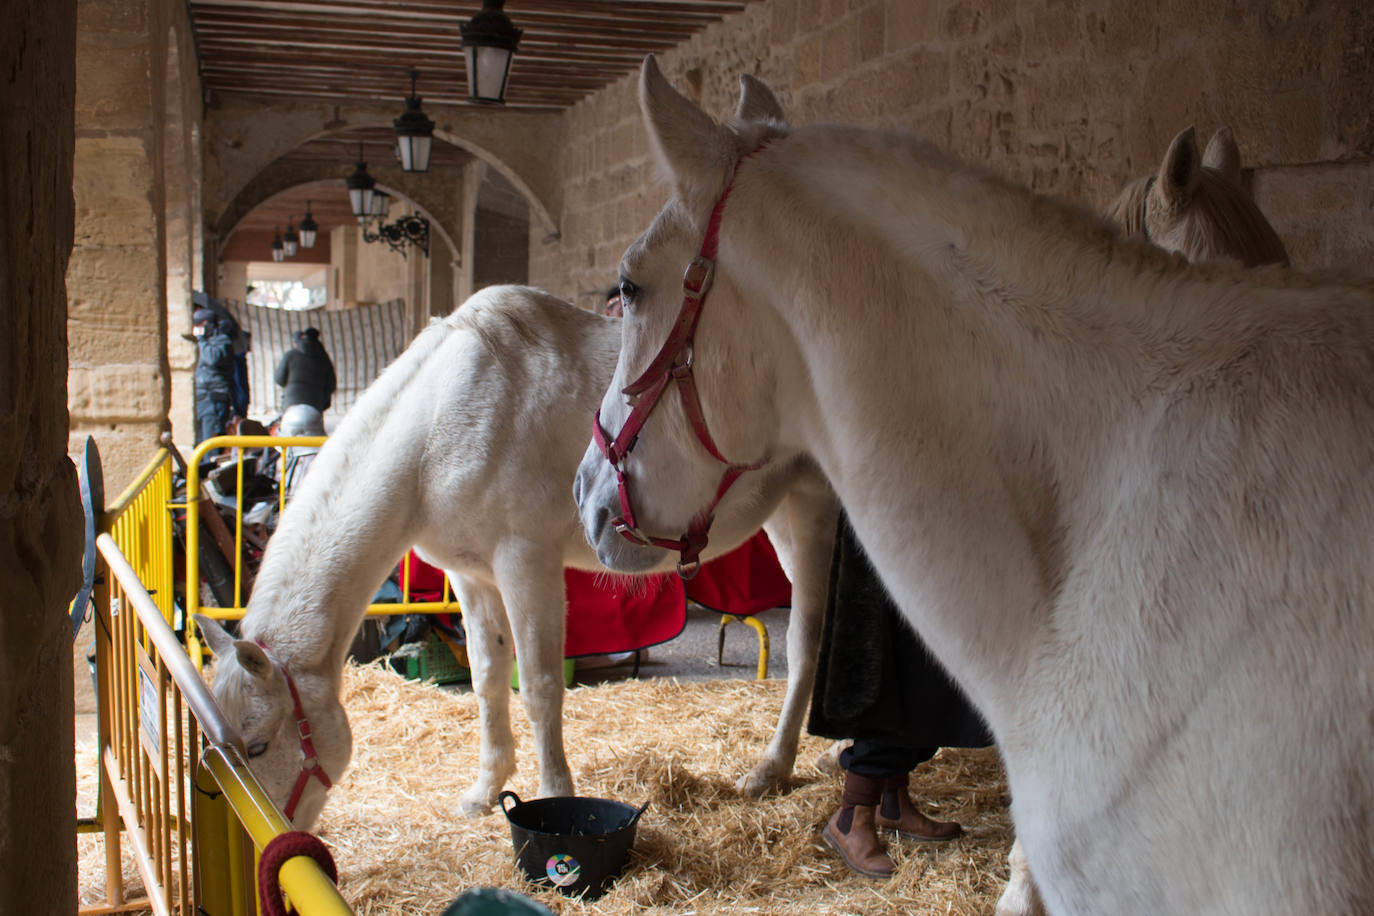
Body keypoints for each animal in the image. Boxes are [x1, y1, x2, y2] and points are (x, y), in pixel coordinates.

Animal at [193, 287, 835, 829]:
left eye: (259, 743)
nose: (262, 831)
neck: (439, 422)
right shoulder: (470, 575)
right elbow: (487, 677)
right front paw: (484, 790)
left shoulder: (527, 562)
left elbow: (542, 685)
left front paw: (555, 795)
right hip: (779, 512)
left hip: (815, 510)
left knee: (806, 643)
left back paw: (773, 769)